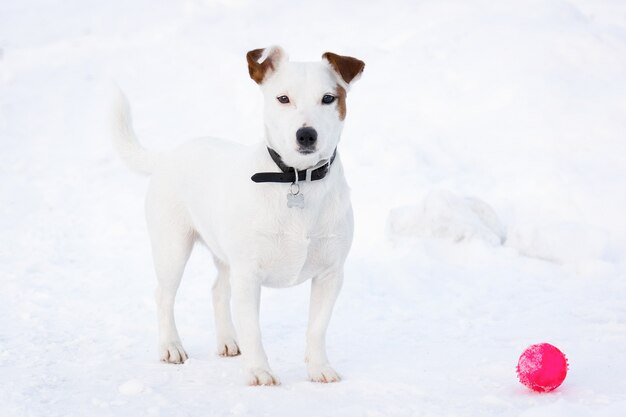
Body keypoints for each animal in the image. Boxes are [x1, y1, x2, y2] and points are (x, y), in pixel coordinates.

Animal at [111, 45, 364, 384]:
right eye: (283, 98)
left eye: (328, 98)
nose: (306, 135)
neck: (296, 178)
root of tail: (168, 156)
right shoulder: (249, 275)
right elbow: (253, 330)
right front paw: (259, 371)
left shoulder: (330, 274)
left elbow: (317, 328)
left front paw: (319, 368)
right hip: (172, 248)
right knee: (163, 295)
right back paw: (171, 346)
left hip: (224, 254)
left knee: (218, 291)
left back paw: (228, 341)